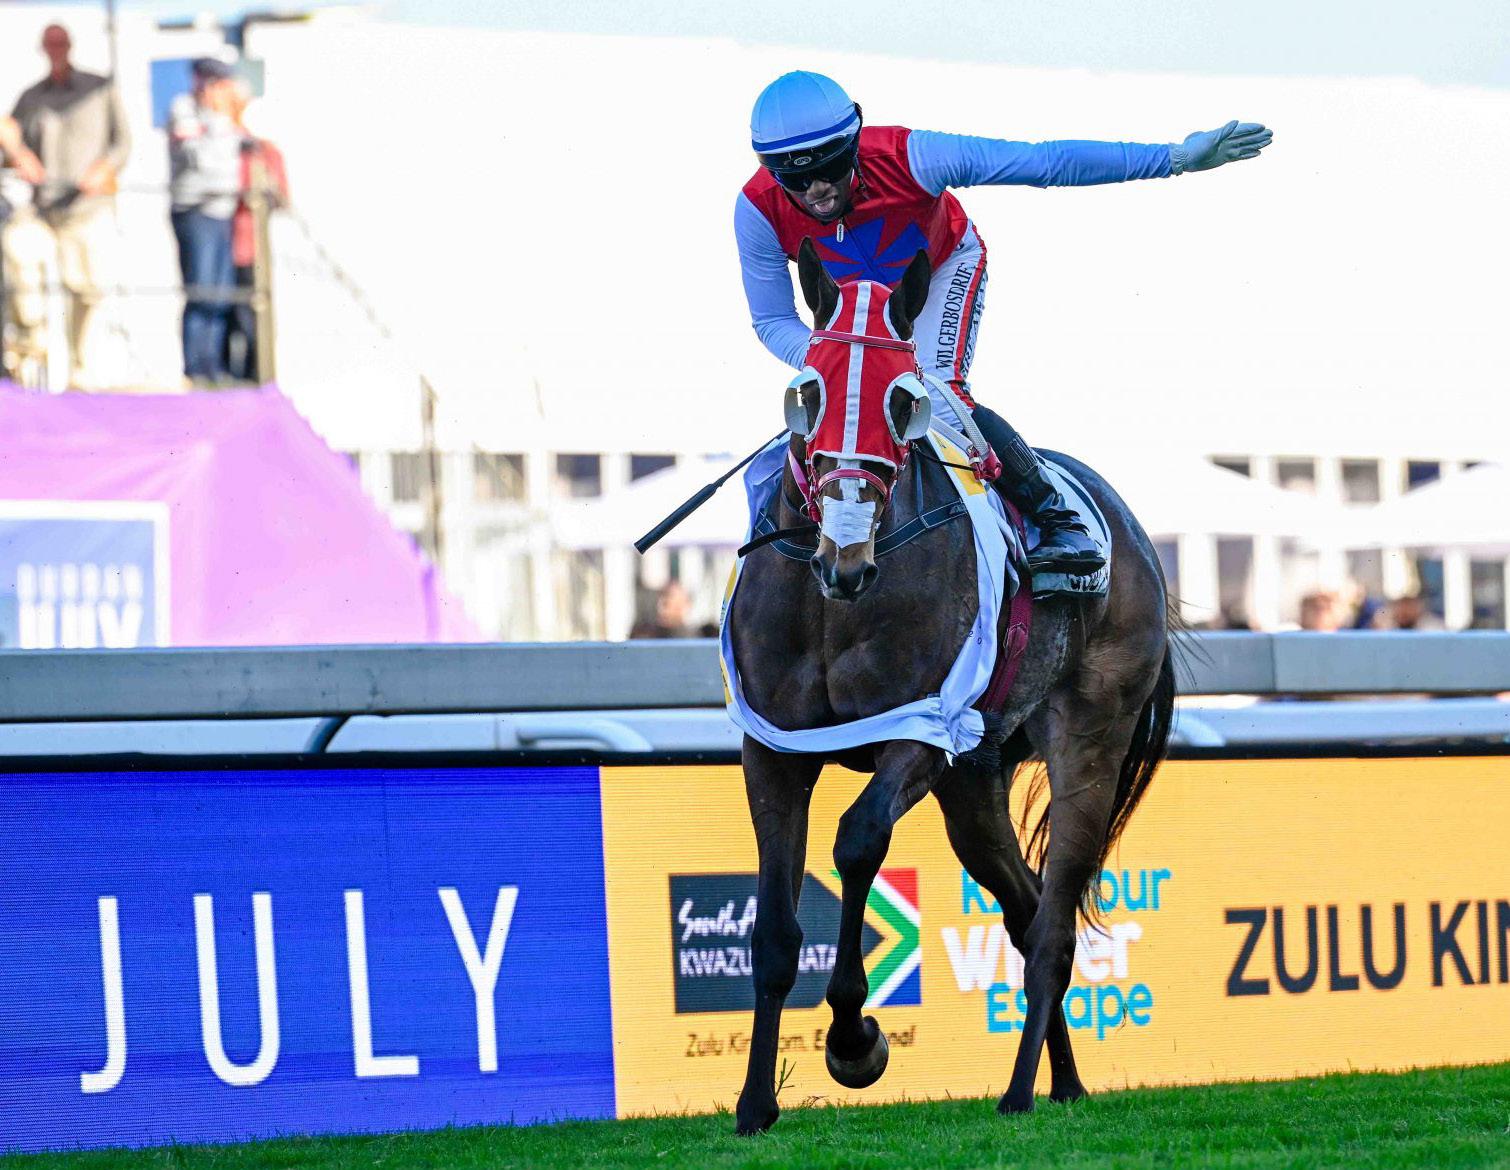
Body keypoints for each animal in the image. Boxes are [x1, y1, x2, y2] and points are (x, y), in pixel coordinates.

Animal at [724, 239, 1175, 1135]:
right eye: (808, 391)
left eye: (905, 400)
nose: (846, 556)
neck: (834, 600)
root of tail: (1132, 532)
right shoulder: (774, 751)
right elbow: (776, 934)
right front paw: (756, 1103)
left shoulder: (923, 731)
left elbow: (858, 840)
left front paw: (855, 1039)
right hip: (976, 781)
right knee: (1029, 906)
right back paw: (1064, 1083)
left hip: (1087, 741)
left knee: (1053, 928)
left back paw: (1019, 1091)